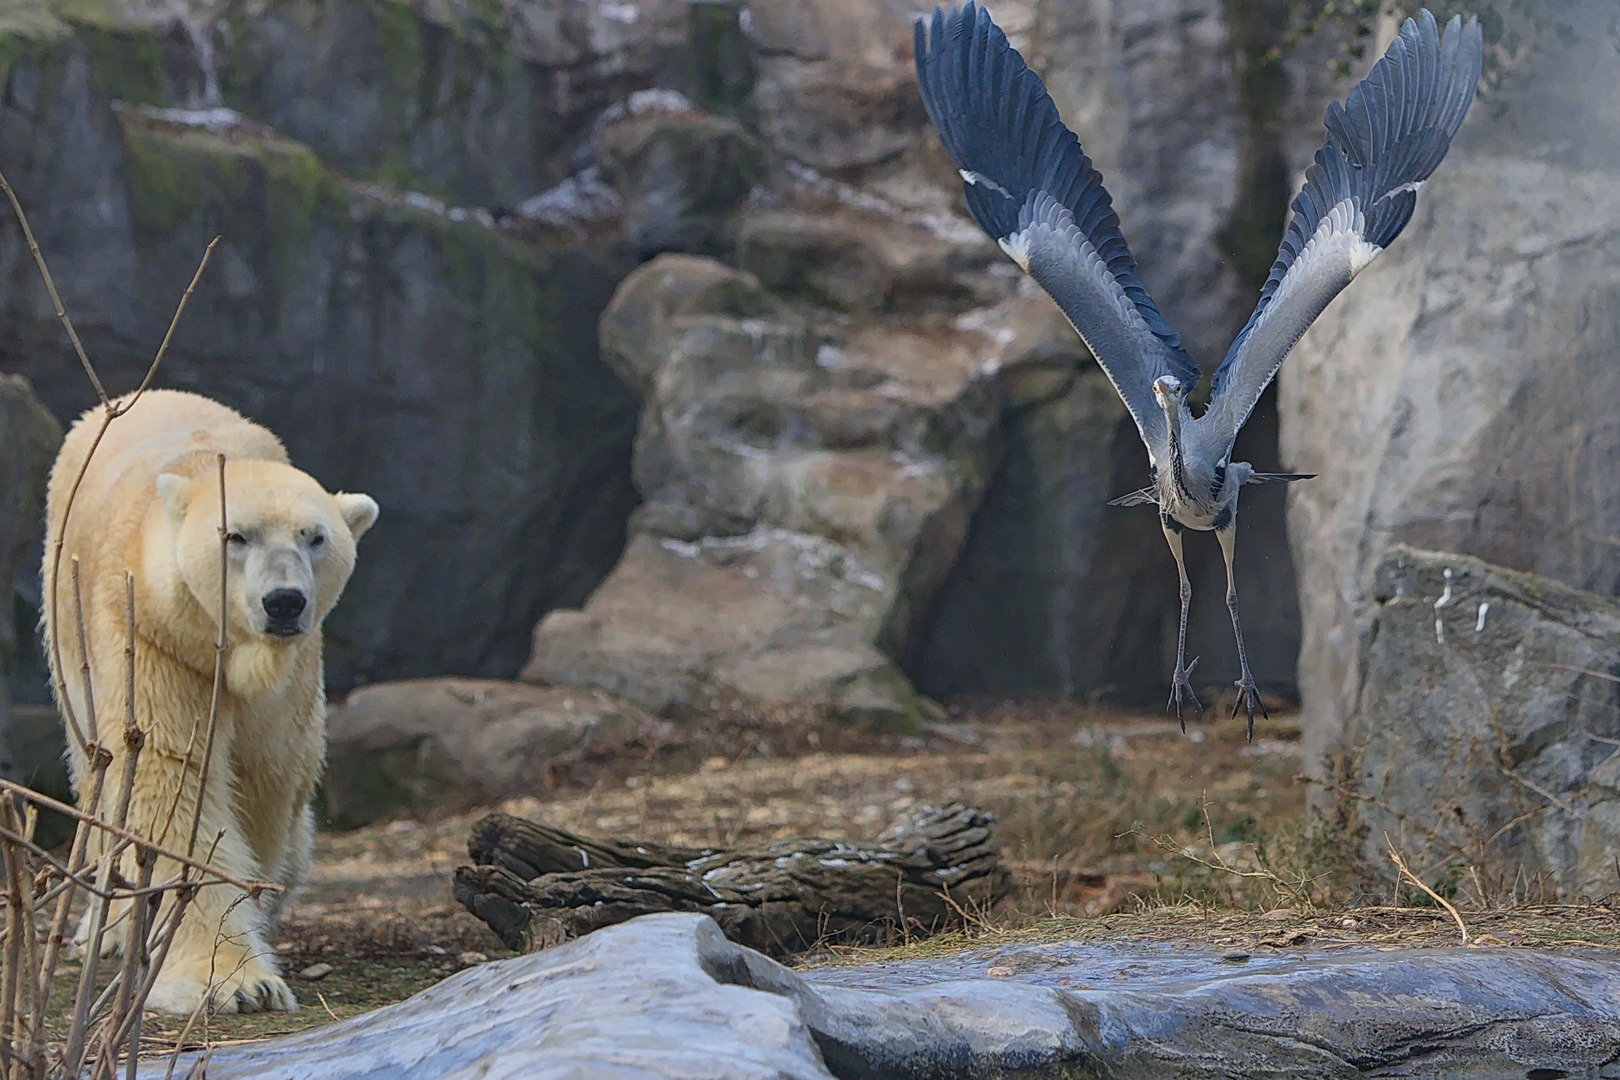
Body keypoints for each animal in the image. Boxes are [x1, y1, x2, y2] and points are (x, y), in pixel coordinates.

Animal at [42, 393, 377, 1016]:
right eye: (236, 536)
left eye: (314, 536)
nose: (285, 602)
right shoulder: (150, 635)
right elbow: (169, 775)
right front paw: (230, 981)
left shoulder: (291, 672)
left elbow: (267, 774)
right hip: (68, 622)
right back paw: (108, 926)